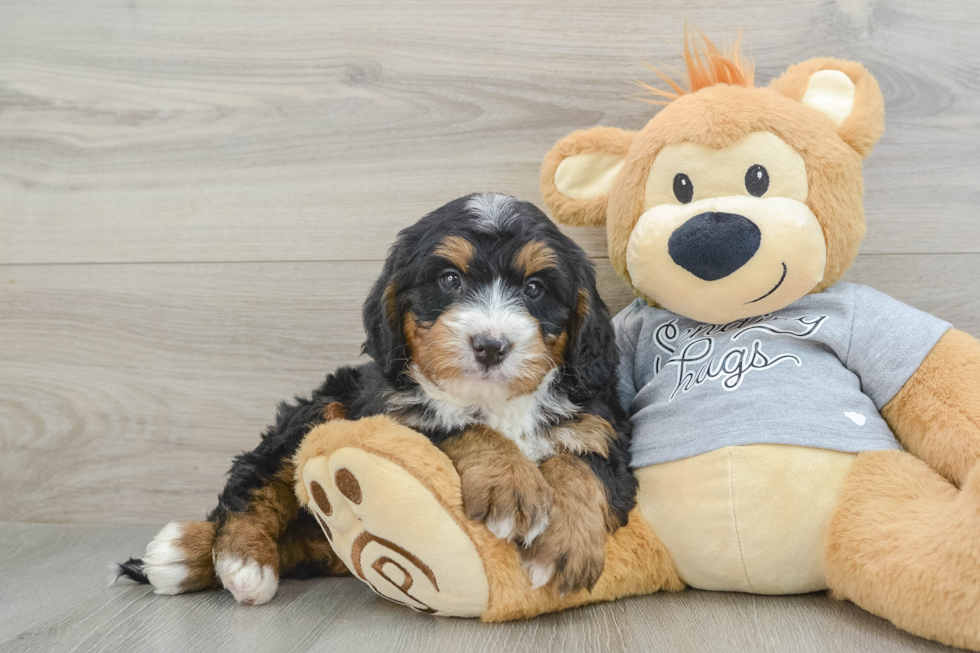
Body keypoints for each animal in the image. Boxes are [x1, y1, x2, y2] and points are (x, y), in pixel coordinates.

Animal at [118, 195, 636, 608]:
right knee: (253, 481)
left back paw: (189, 556)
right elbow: (456, 424)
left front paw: (565, 542)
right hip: (321, 408)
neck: (494, 401)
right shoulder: (388, 414)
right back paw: (230, 559)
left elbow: (582, 467)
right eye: (450, 280)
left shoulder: (600, 427)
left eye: (534, 288)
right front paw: (510, 481)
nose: (491, 345)